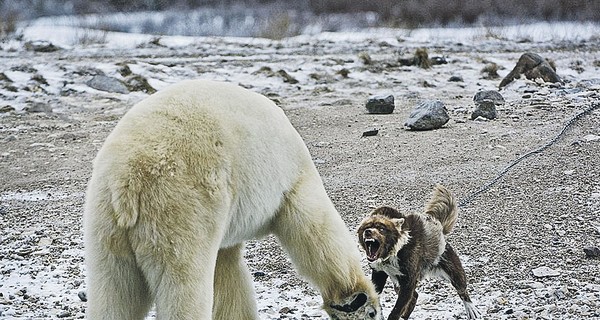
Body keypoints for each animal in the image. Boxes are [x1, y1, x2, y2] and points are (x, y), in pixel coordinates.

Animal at [84, 79, 380, 320]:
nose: (372, 313)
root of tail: (129, 179)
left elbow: (227, 273)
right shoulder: (291, 179)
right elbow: (313, 229)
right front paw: (354, 298)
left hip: (106, 224)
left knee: (114, 291)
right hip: (179, 210)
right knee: (183, 283)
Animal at [358, 185, 480, 320]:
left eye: (381, 228)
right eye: (367, 227)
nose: (368, 232)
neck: (393, 253)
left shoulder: (408, 282)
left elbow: (397, 309)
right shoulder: (379, 273)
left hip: (453, 271)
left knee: (462, 289)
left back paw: (471, 308)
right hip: (397, 282)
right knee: (414, 297)